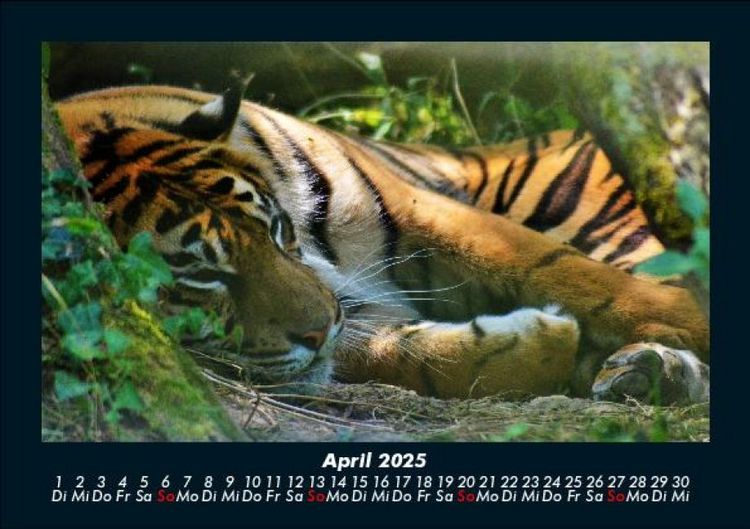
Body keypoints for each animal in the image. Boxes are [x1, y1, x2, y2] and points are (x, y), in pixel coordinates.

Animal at [55, 76, 710, 405]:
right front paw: (536, 346)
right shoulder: (342, 315)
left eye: (276, 229)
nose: (321, 328)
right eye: (200, 276)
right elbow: (406, 353)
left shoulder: (416, 209)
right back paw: (647, 372)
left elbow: (559, 269)